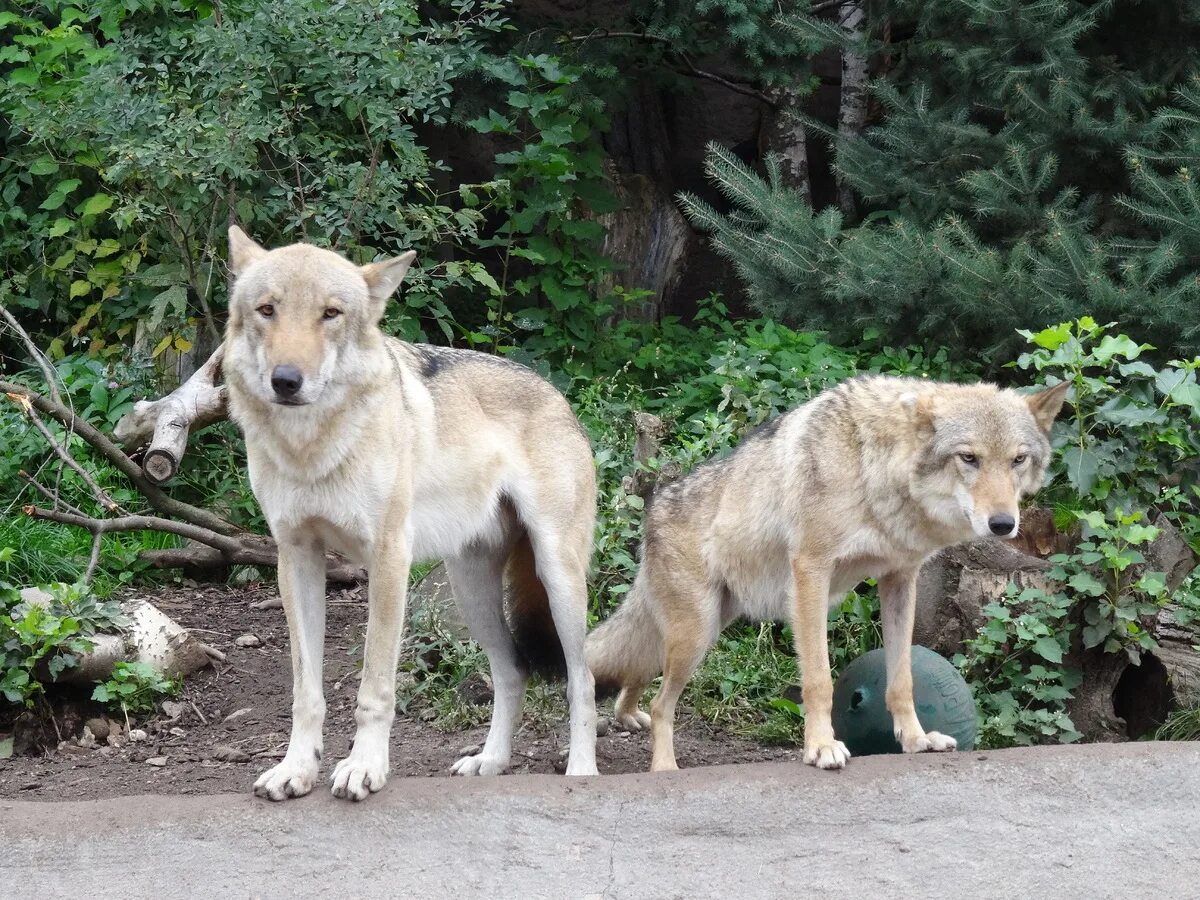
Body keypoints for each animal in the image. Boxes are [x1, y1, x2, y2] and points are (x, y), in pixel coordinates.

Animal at [220, 226, 595, 801]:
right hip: (471, 591)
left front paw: (364, 767)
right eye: (267, 309)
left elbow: (374, 686)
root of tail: (559, 396)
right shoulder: (296, 558)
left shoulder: (388, 558)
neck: (313, 450)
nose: (286, 380)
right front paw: (296, 769)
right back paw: (491, 761)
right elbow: (306, 691)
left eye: (330, 314)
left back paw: (581, 769)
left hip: (557, 579)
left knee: (583, 678)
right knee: (512, 672)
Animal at [585, 376, 1065, 772]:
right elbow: (819, 679)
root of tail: (653, 509)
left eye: (1018, 460)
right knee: (662, 704)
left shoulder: (900, 580)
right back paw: (664, 768)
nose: (1003, 524)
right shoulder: (811, 572)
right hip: (696, 636)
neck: (876, 471)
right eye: (969, 458)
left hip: (701, 630)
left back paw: (628, 716)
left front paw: (915, 740)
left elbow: (902, 679)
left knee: (637, 678)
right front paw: (820, 747)